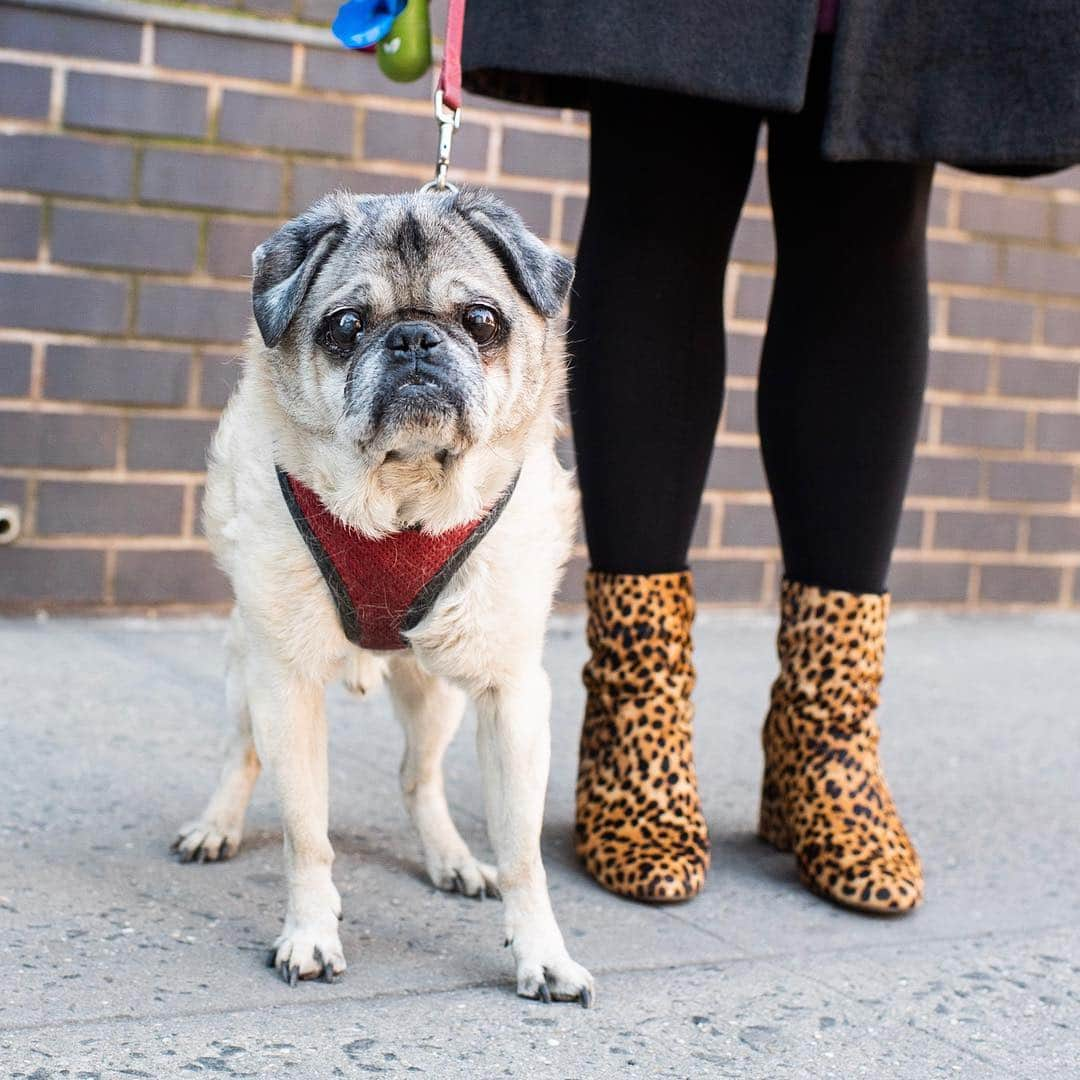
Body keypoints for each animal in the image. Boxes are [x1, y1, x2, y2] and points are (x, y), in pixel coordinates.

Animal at [169, 190, 596, 1006]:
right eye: (345, 328)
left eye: (481, 321)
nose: (414, 341)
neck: (402, 494)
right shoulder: (287, 685)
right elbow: (307, 833)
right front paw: (311, 933)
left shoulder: (511, 697)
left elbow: (523, 852)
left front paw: (542, 953)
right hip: (247, 672)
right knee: (243, 754)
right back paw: (216, 825)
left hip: (439, 695)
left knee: (417, 776)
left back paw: (450, 857)